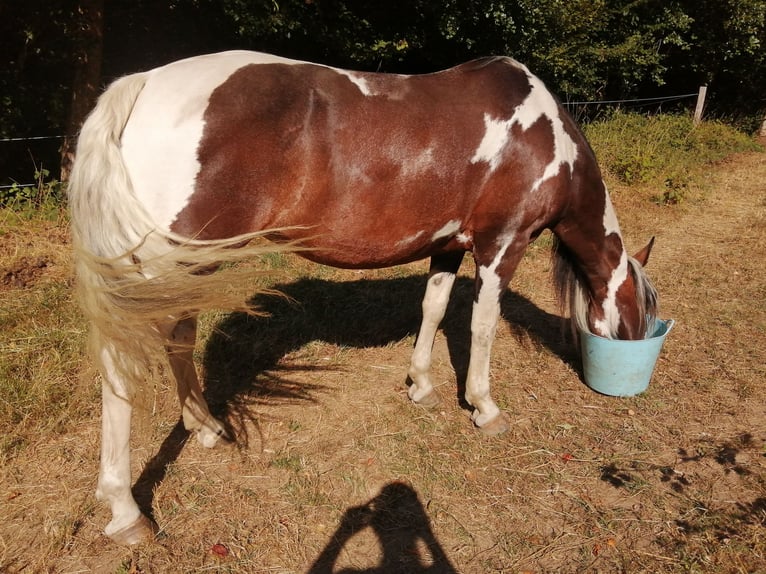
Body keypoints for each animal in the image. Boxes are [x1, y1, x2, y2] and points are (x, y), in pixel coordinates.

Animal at [68, 50, 658, 544]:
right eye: (641, 317)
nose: (633, 375)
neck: (544, 136)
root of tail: (144, 83)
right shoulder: (502, 245)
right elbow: (482, 326)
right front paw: (484, 407)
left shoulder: (447, 247)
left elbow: (434, 308)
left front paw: (421, 385)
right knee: (122, 366)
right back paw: (126, 511)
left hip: (188, 268)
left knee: (178, 340)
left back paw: (206, 429)